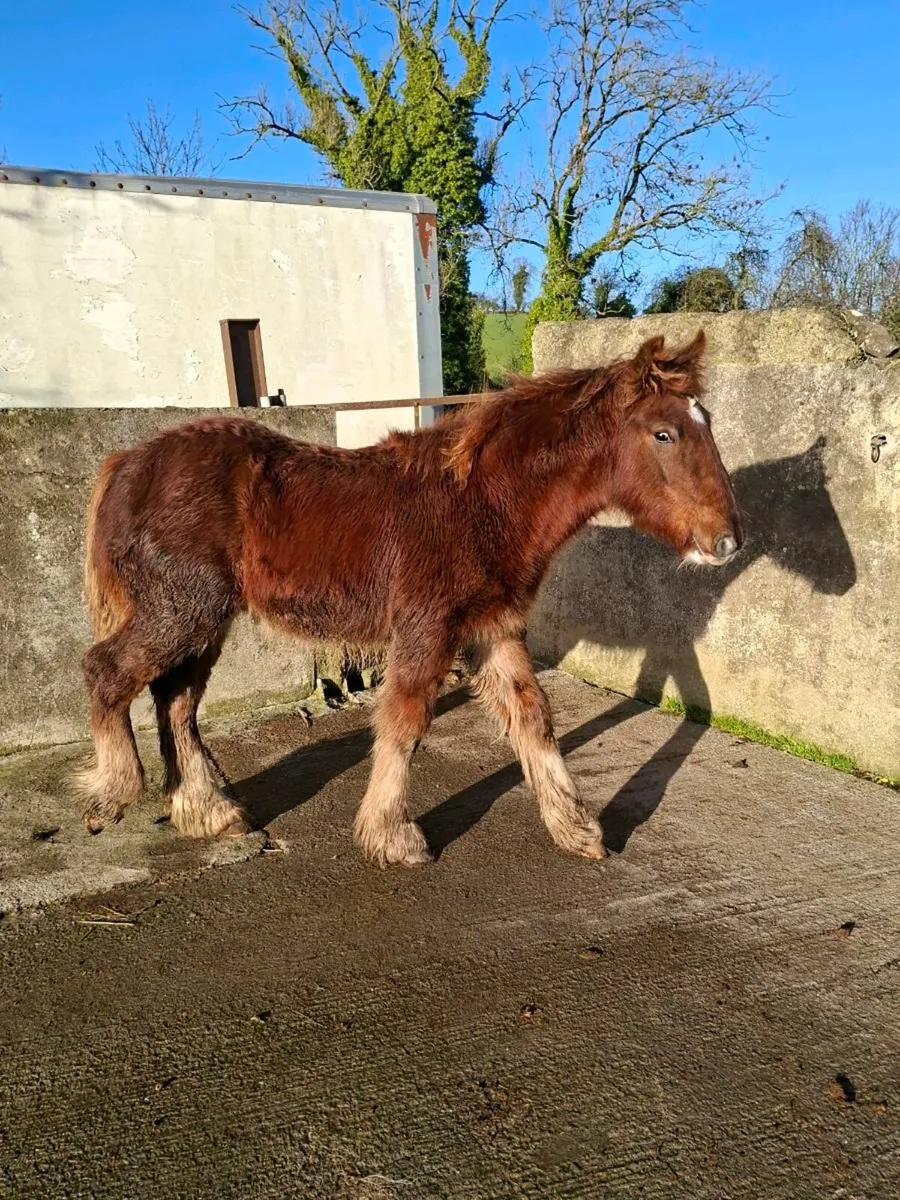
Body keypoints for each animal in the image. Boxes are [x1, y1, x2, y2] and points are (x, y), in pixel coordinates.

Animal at [76, 330, 743, 868]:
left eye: (705, 422)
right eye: (664, 433)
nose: (728, 541)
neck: (484, 501)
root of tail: (128, 462)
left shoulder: (493, 628)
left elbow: (533, 716)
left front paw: (576, 829)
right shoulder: (427, 627)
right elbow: (405, 720)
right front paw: (392, 837)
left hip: (203, 621)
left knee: (174, 701)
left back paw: (206, 811)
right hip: (183, 612)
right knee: (108, 672)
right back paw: (112, 795)